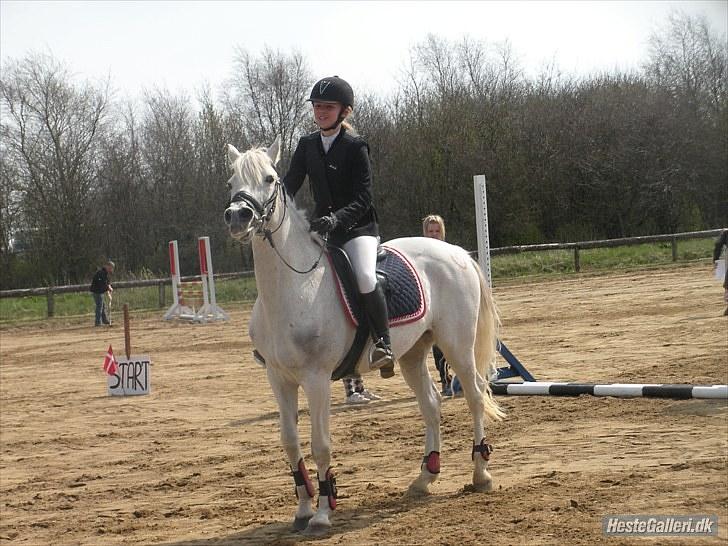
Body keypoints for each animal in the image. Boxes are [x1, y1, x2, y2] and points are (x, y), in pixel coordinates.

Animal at [223, 137, 504, 535]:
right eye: (232, 181)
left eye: (268, 179)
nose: (238, 216)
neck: (292, 287)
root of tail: (455, 252)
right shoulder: (278, 378)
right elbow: (290, 442)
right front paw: (303, 509)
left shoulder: (316, 378)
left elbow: (320, 444)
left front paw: (323, 513)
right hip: (412, 353)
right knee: (431, 404)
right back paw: (425, 478)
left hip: (457, 346)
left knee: (476, 396)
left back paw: (481, 474)